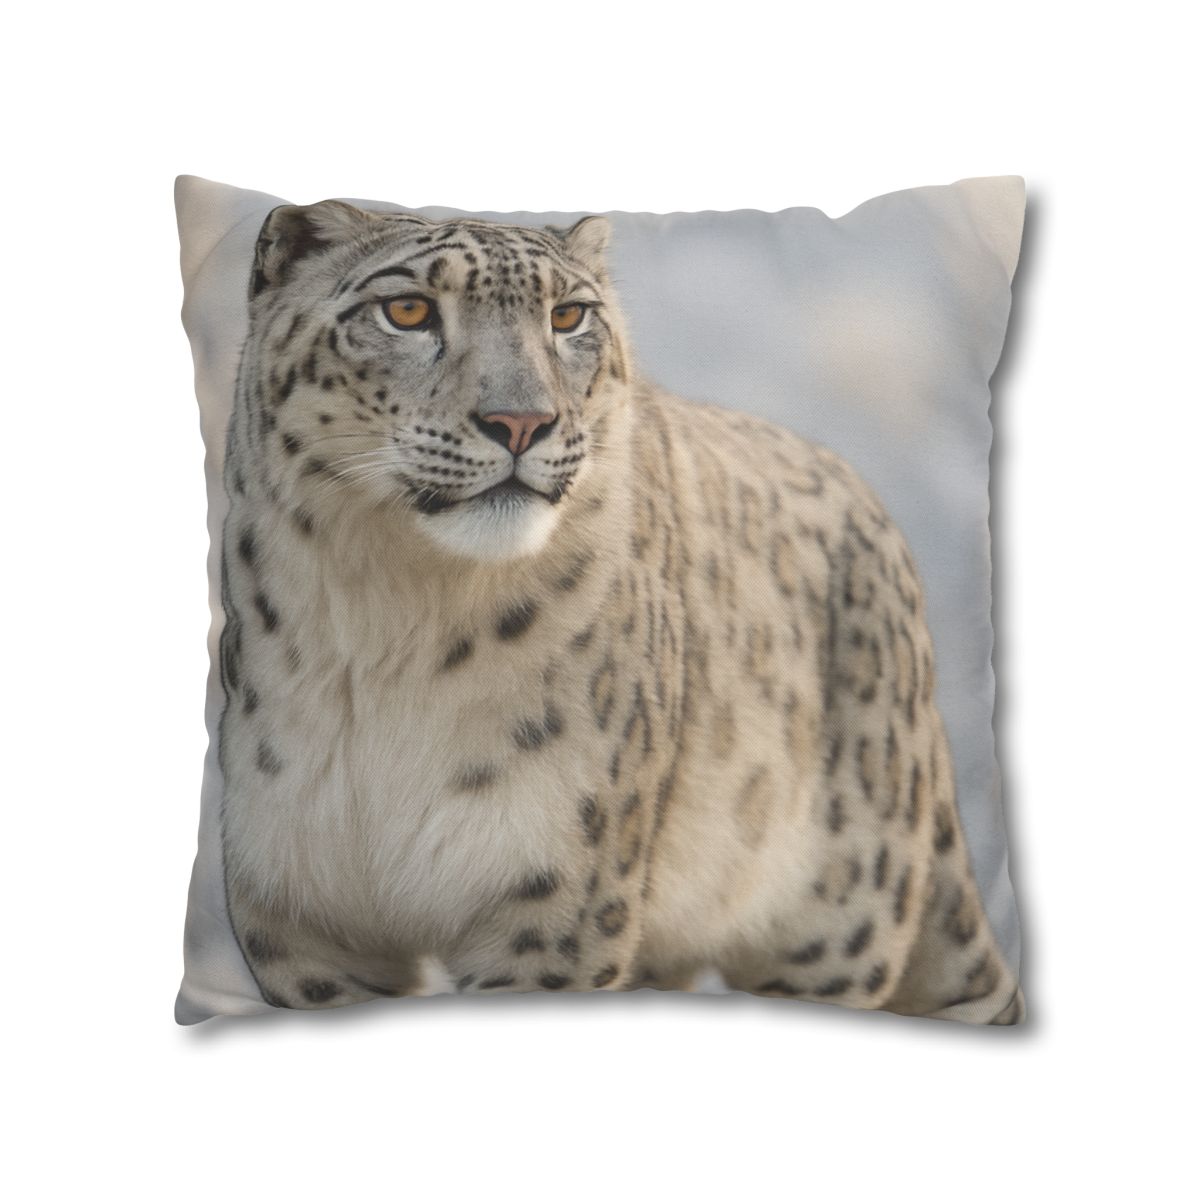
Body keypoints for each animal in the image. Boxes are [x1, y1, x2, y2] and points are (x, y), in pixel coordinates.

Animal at [215, 198, 1023, 1024]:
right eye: (407, 310)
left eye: (568, 316)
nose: (521, 422)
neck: (391, 623)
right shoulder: (303, 919)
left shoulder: (554, 907)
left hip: (833, 927)